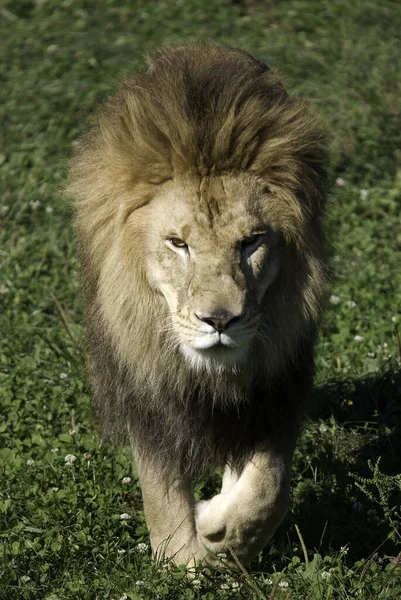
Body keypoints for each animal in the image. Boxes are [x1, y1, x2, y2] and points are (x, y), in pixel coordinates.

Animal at [66, 44, 328, 568]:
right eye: (177, 244)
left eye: (250, 242)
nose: (220, 320)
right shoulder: (148, 392)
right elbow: (162, 490)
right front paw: (182, 564)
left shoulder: (276, 386)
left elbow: (269, 486)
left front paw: (221, 530)